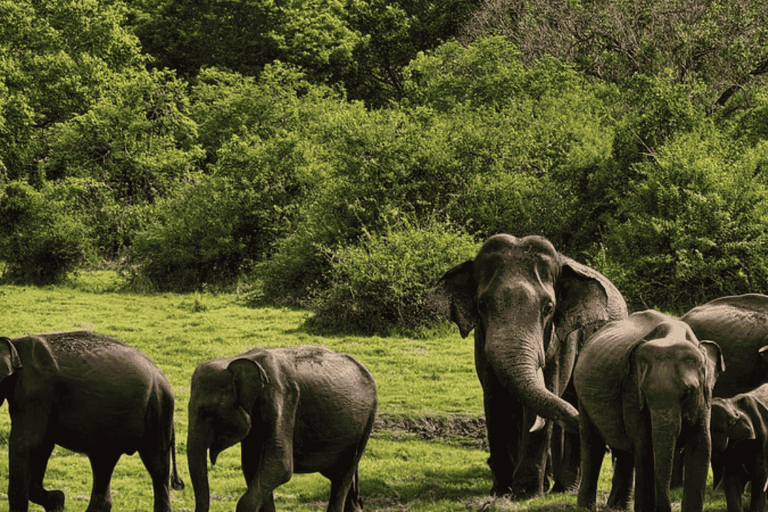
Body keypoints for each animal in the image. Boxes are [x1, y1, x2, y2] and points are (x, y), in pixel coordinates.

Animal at [0, 330, 184, 512]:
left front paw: (56, 502)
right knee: (103, 463)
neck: (14, 344)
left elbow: (26, 443)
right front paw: (57, 502)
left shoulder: (34, 392)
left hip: (159, 409)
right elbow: (43, 444)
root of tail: (163, 378)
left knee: (157, 465)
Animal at [187, 345, 378, 512]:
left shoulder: (282, 398)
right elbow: (252, 467)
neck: (233, 359)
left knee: (343, 476)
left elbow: (280, 465)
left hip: (368, 421)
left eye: (207, 412)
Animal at [428, 234, 627, 497]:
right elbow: (495, 401)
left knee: (572, 399)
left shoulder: (563, 339)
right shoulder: (481, 343)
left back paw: (564, 488)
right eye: (481, 306)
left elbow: (546, 393)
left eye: (549, 308)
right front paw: (501, 491)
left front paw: (526, 493)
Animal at [574, 310, 724, 512]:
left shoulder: (705, 396)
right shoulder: (631, 389)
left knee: (624, 452)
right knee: (593, 446)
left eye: (687, 393)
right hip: (582, 400)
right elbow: (644, 445)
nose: (667, 507)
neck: (672, 335)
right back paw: (586, 507)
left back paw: (617, 507)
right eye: (645, 392)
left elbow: (702, 445)